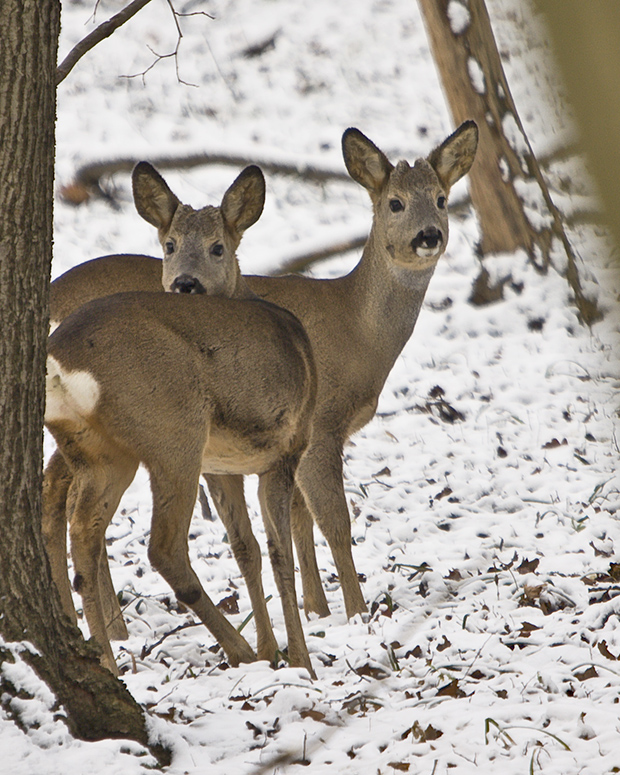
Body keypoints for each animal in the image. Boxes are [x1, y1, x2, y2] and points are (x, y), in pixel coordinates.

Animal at [44, 165, 318, 680]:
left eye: (218, 247)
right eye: (168, 245)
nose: (185, 283)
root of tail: (58, 356)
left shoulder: (223, 465)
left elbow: (246, 547)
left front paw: (274, 651)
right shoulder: (285, 449)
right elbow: (279, 552)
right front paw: (301, 663)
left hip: (99, 448)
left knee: (82, 528)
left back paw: (106, 659)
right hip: (174, 432)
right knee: (163, 547)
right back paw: (237, 650)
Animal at [48, 123, 478, 632]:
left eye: (441, 198)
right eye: (395, 202)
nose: (428, 235)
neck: (356, 328)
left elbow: (297, 517)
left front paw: (316, 610)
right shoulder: (321, 424)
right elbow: (333, 519)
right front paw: (356, 615)